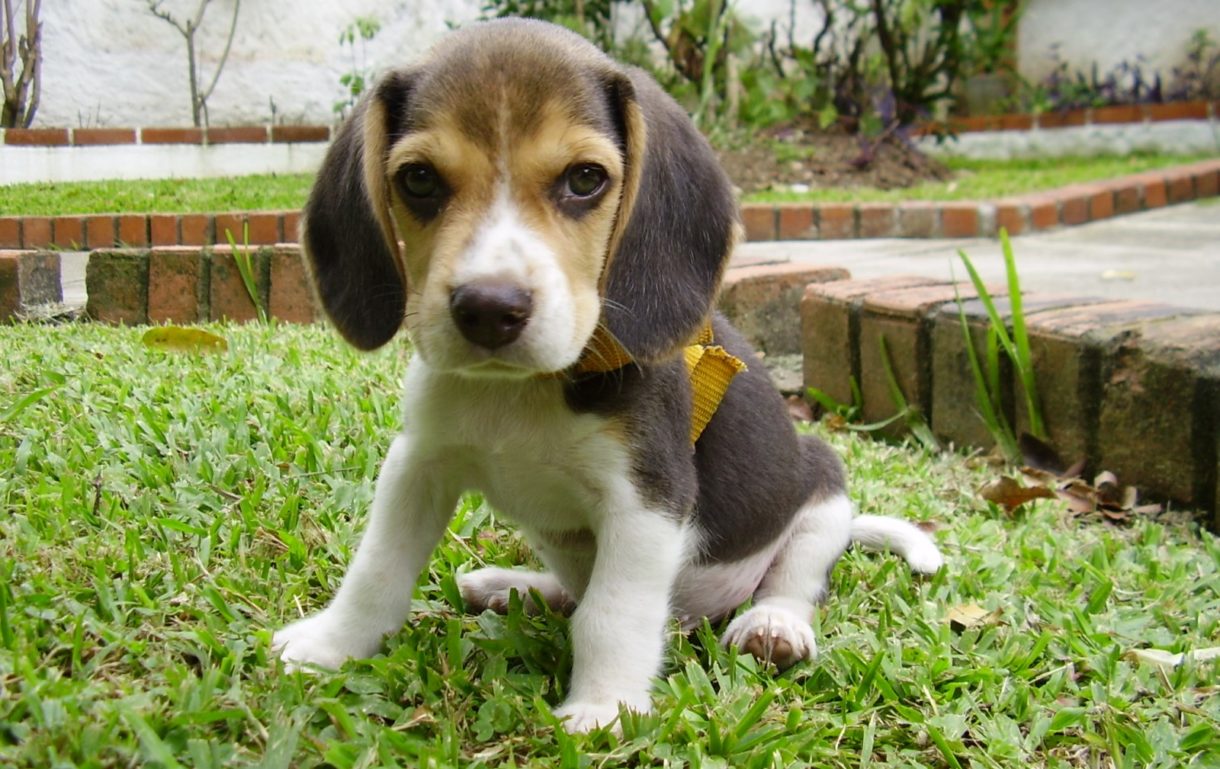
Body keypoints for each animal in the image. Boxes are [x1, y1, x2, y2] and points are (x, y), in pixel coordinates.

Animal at [276, 16, 941, 727]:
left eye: (586, 178)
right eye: (420, 180)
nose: (488, 309)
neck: (523, 391)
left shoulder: (648, 498)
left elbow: (612, 614)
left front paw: (603, 709)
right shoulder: (418, 464)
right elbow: (376, 568)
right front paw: (330, 644)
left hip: (821, 486)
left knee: (795, 580)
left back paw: (773, 627)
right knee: (572, 588)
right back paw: (516, 588)